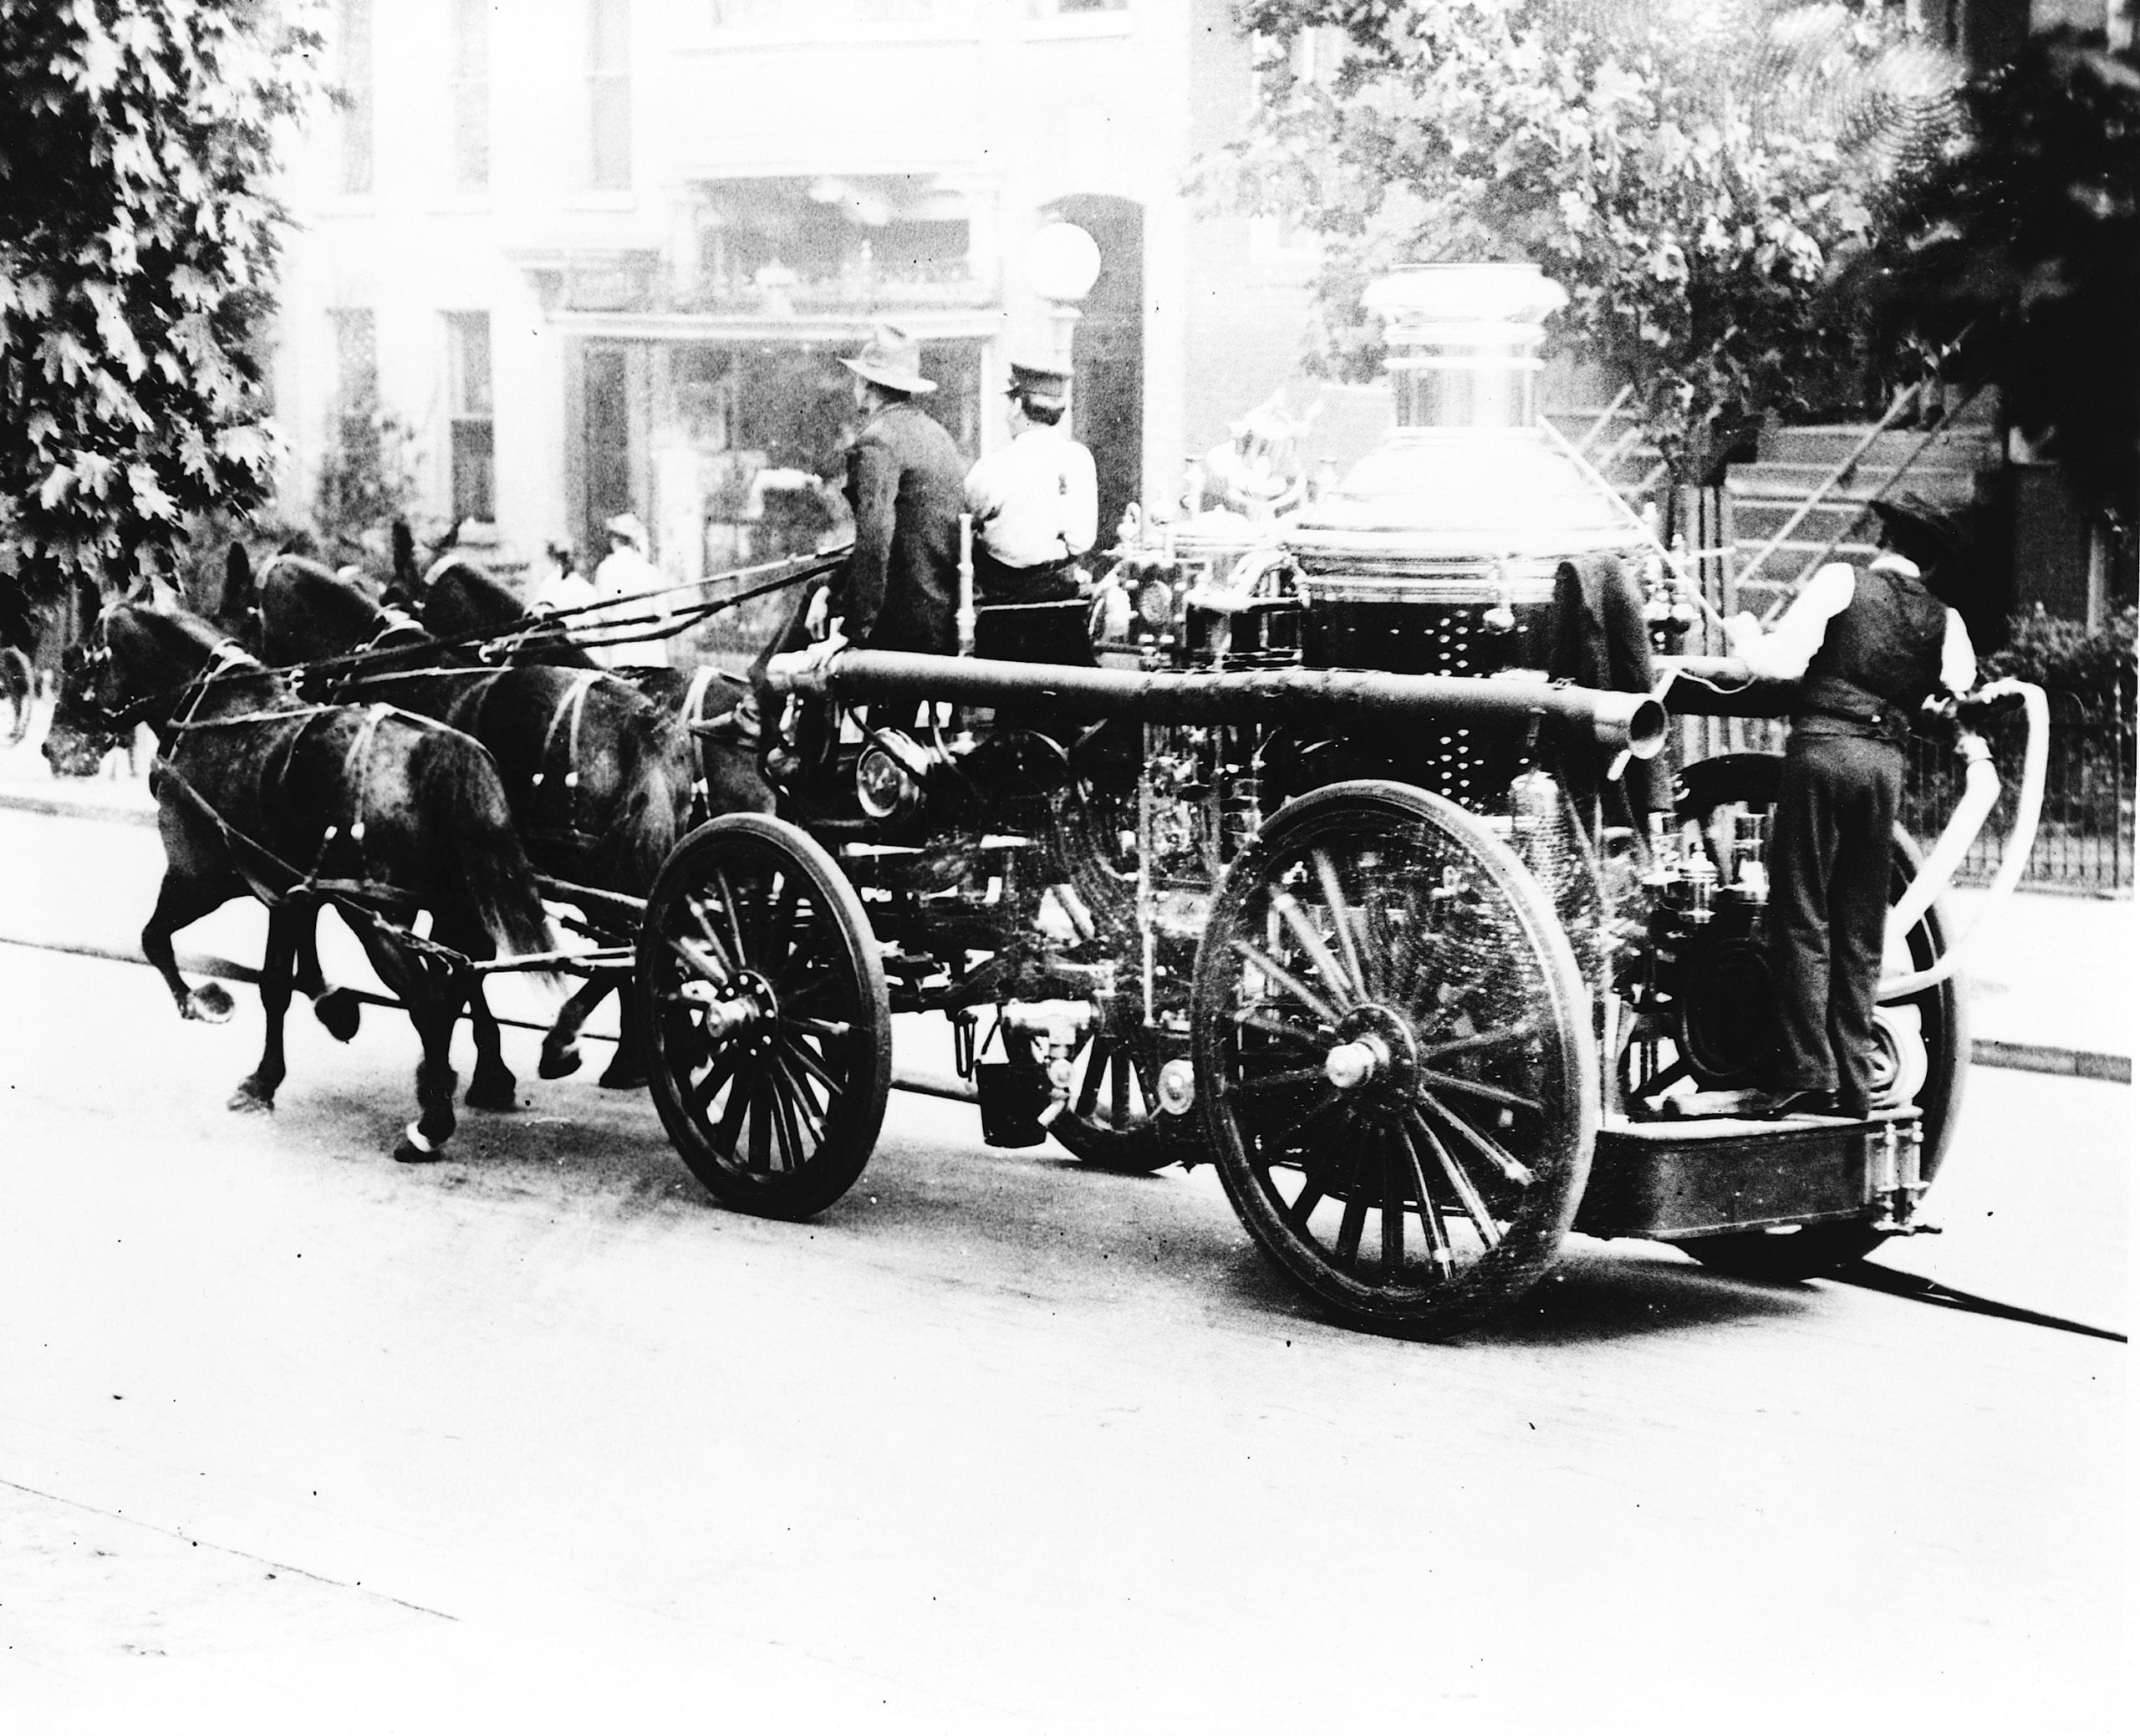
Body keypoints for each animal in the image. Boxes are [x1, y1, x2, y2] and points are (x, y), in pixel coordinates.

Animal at [47, 599, 560, 1164]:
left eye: (75, 663)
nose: (52, 749)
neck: (217, 713)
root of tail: (447, 750)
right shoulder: (290, 894)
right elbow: (279, 981)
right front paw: (299, 1044)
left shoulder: (196, 877)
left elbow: (155, 939)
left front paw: (203, 1003)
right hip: (445, 910)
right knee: (462, 978)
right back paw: (467, 1078)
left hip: (375, 918)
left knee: (428, 998)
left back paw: (431, 1123)